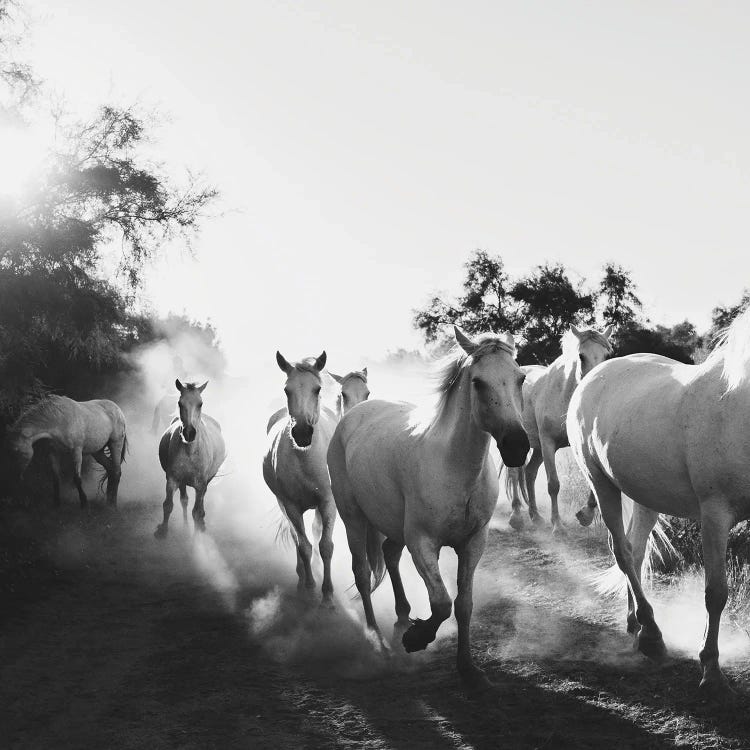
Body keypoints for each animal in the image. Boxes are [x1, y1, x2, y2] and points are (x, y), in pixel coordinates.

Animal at [152, 382, 223, 540]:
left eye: (200, 403)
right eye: (180, 403)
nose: (189, 433)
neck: (190, 451)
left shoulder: (201, 484)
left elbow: (196, 511)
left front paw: (197, 536)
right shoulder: (172, 479)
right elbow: (168, 505)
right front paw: (163, 530)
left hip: (207, 480)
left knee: (200, 501)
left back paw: (201, 522)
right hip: (182, 481)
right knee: (184, 500)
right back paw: (185, 525)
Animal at [262, 352, 338, 604]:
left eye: (317, 389)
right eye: (287, 390)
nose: (302, 433)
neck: (305, 458)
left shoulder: (328, 502)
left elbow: (325, 546)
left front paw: (328, 594)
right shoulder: (291, 505)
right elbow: (303, 545)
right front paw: (310, 587)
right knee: (298, 538)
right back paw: (302, 577)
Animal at [328, 328, 528, 692]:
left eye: (520, 378)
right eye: (478, 382)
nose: (517, 447)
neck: (454, 467)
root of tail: (354, 414)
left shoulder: (473, 543)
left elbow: (463, 605)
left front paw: (468, 669)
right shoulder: (423, 543)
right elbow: (441, 603)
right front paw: (417, 638)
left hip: (393, 525)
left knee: (390, 555)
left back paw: (402, 616)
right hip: (353, 519)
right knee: (362, 574)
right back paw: (378, 640)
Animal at [502, 326, 612, 532]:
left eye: (607, 355)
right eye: (581, 356)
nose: (595, 385)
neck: (563, 395)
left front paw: (585, 515)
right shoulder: (548, 444)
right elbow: (553, 484)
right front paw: (558, 525)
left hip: (536, 448)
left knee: (529, 473)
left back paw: (535, 516)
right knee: (514, 474)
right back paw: (517, 517)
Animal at [568, 308, 750, 696]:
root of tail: (593, 377)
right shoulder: (715, 515)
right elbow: (716, 593)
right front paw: (711, 669)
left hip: (645, 497)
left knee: (635, 554)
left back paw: (635, 623)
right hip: (602, 485)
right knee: (622, 552)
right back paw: (651, 634)